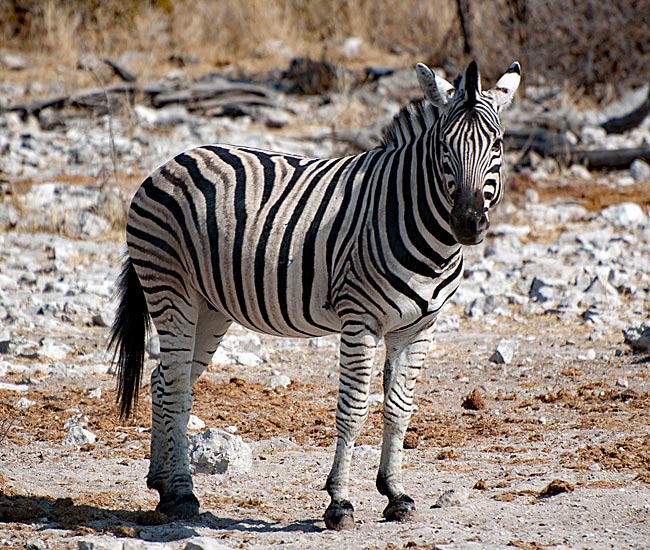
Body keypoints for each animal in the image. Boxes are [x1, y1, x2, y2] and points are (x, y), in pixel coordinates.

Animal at [109, 59, 520, 529]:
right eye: (442, 147)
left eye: (498, 144)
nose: (468, 223)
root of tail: (171, 162)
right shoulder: (360, 320)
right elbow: (354, 409)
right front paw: (339, 502)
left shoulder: (419, 327)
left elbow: (399, 408)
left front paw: (395, 493)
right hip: (171, 290)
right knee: (175, 386)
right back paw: (181, 493)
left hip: (210, 307)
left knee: (163, 381)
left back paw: (162, 484)